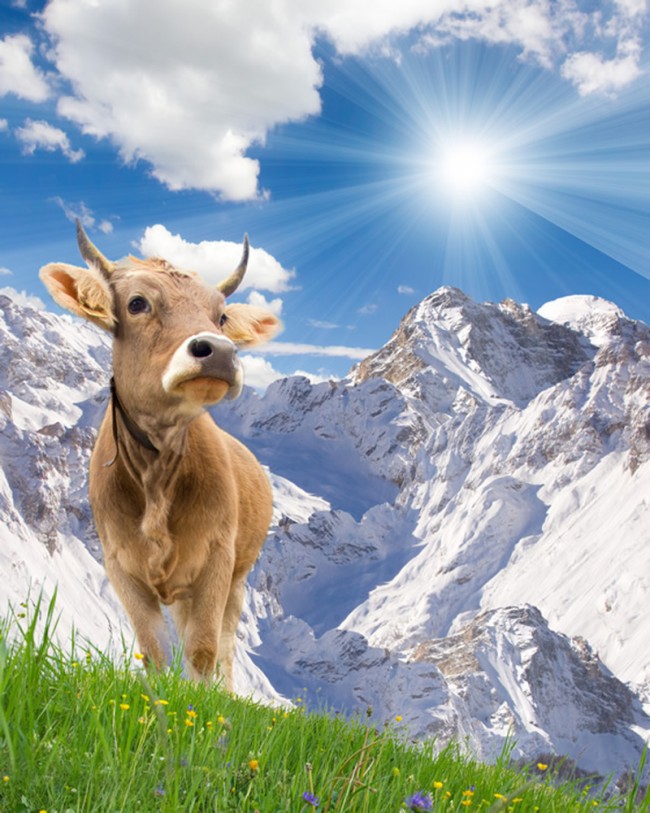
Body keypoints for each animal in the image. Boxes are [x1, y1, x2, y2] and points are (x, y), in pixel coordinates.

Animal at [39, 223, 282, 689]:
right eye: (137, 303)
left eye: (220, 316)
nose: (220, 351)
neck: (156, 476)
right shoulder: (121, 567)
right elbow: (153, 652)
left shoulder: (217, 560)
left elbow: (203, 651)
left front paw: (204, 706)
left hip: (238, 577)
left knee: (225, 646)